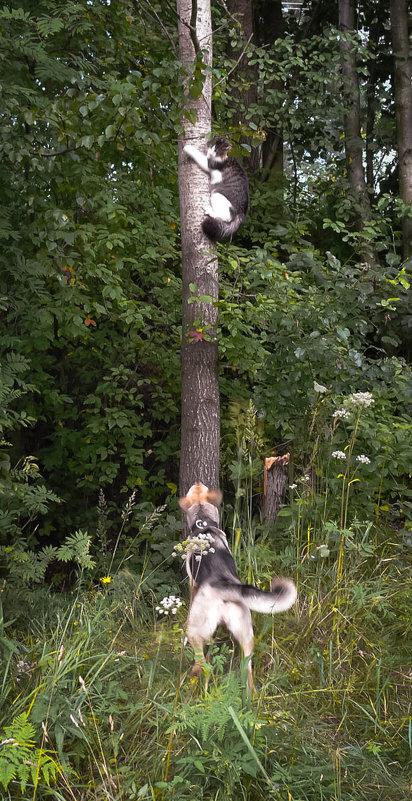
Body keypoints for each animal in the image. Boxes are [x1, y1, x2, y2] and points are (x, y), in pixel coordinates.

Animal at [179, 482, 298, 688]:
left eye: (196, 489)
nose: (197, 482)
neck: (203, 522)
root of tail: (224, 588)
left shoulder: (192, 583)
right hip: (246, 634)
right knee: (248, 670)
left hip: (195, 630)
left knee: (202, 663)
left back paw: (196, 677)